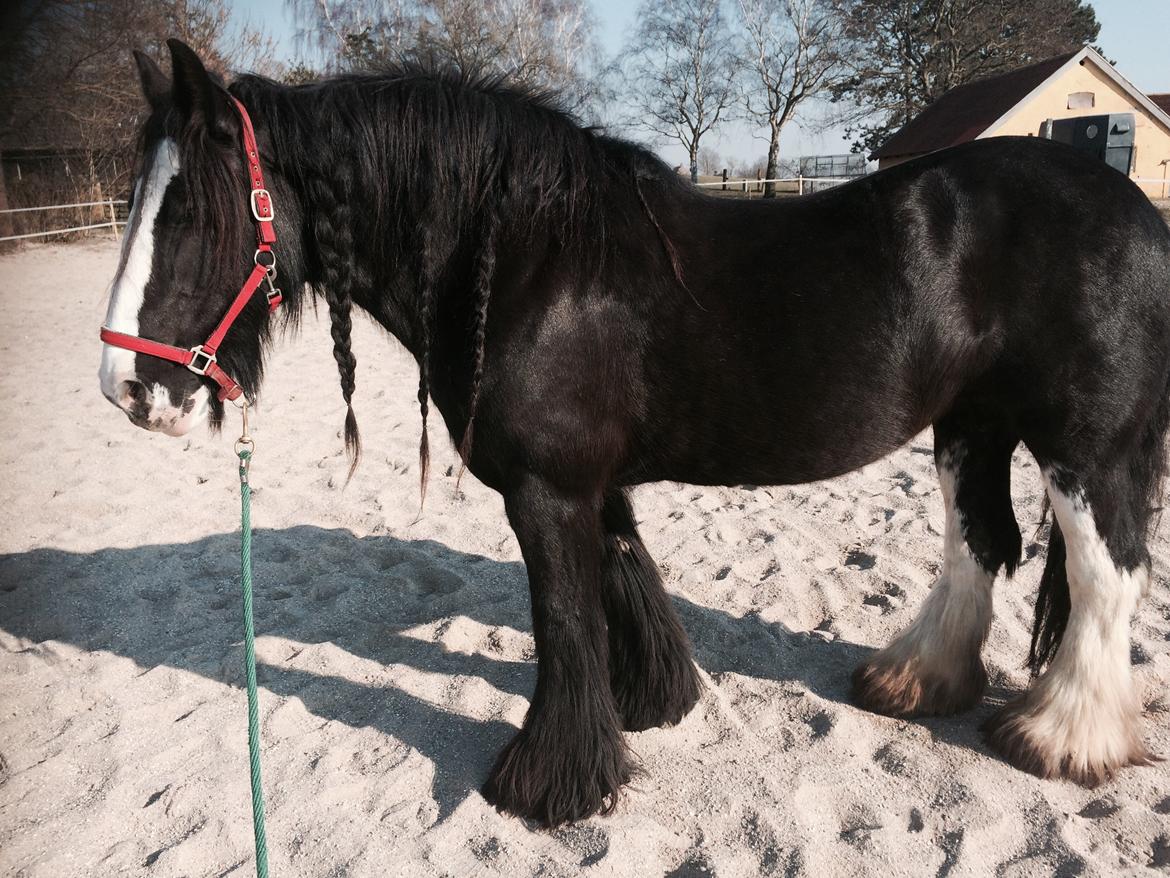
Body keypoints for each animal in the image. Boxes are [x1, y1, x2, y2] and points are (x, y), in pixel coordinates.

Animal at [98, 39, 1170, 824]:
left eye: (190, 210)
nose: (127, 389)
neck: (530, 260)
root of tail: (1132, 207)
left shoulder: (547, 493)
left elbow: (564, 623)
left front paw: (550, 784)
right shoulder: (591, 487)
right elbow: (624, 580)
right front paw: (654, 706)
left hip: (1084, 446)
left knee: (1106, 573)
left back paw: (1062, 738)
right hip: (970, 425)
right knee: (980, 544)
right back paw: (915, 681)